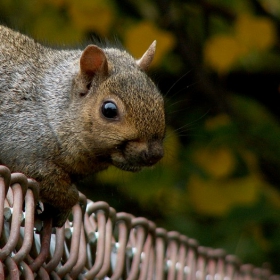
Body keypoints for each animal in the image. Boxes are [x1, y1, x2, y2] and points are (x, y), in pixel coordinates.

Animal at [0, 25, 165, 226]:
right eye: (109, 110)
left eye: (161, 101)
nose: (155, 154)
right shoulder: (20, 142)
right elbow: (48, 178)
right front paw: (66, 202)